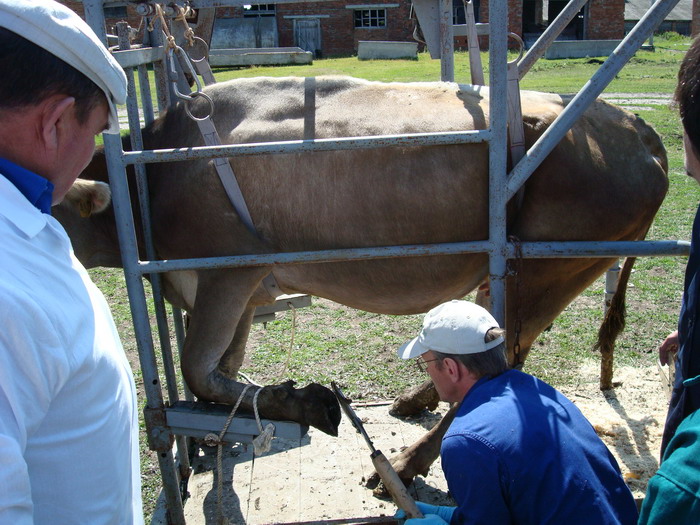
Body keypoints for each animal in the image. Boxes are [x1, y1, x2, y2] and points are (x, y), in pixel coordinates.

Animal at [54, 74, 668, 484]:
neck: (149, 180)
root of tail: (633, 125)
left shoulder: (229, 269)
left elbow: (199, 372)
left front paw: (304, 402)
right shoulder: (239, 290)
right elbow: (225, 366)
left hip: (539, 272)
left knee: (504, 361)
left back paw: (406, 462)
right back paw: (414, 400)